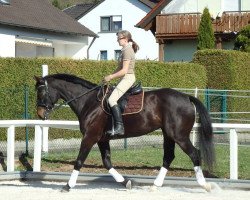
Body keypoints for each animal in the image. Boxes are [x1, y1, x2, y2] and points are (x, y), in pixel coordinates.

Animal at [33, 74, 215, 192]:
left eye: (41, 92)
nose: (40, 114)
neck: (89, 101)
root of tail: (186, 97)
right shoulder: (102, 139)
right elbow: (107, 163)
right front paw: (125, 182)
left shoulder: (90, 137)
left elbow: (79, 161)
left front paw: (67, 186)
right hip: (168, 134)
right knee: (168, 157)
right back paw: (155, 185)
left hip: (179, 135)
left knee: (194, 153)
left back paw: (204, 185)